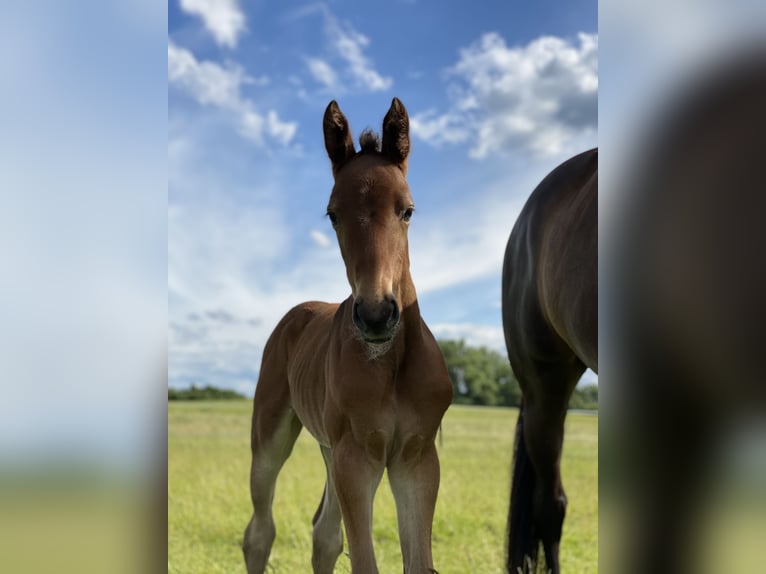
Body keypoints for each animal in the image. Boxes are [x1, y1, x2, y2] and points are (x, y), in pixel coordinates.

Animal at [242, 98, 453, 574]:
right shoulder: (356, 458)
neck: (390, 363)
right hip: (273, 435)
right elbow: (364, 562)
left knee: (323, 534)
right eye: (333, 213)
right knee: (259, 532)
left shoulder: (416, 458)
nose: (376, 315)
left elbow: (417, 562)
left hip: (328, 447)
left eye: (407, 210)